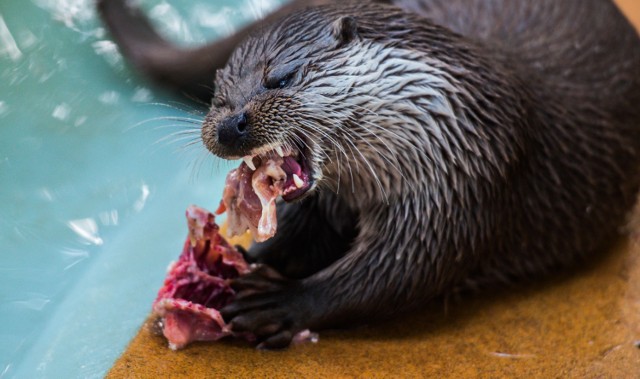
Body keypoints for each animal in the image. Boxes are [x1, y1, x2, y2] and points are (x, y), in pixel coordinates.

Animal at [97, 0, 640, 350]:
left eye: (281, 78)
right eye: (217, 95)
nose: (229, 126)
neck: (443, 116)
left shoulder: (463, 183)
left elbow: (399, 273)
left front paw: (280, 301)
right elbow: (305, 237)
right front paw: (243, 261)